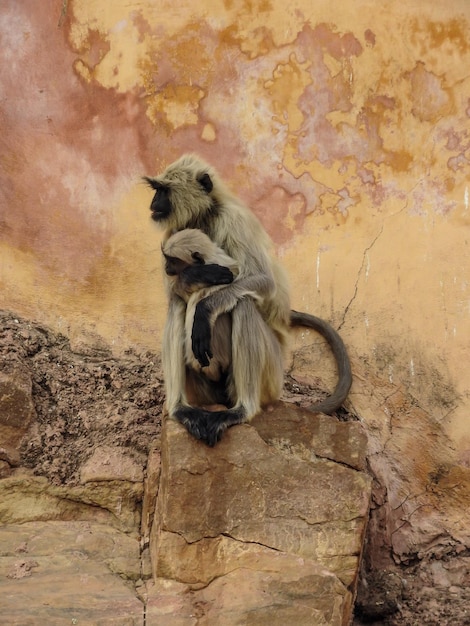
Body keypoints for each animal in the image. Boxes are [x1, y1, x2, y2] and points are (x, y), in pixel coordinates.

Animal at [144, 154, 352, 446]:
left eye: (163, 190)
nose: (154, 202)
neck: (205, 217)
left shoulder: (234, 219)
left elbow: (263, 280)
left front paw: (204, 309)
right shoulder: (174, 230)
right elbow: (172, 291)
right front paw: (198, 276)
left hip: (272, 378)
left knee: (242, 304)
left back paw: (242, 410)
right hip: (204, 390)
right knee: (178, 303)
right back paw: (180, 409)